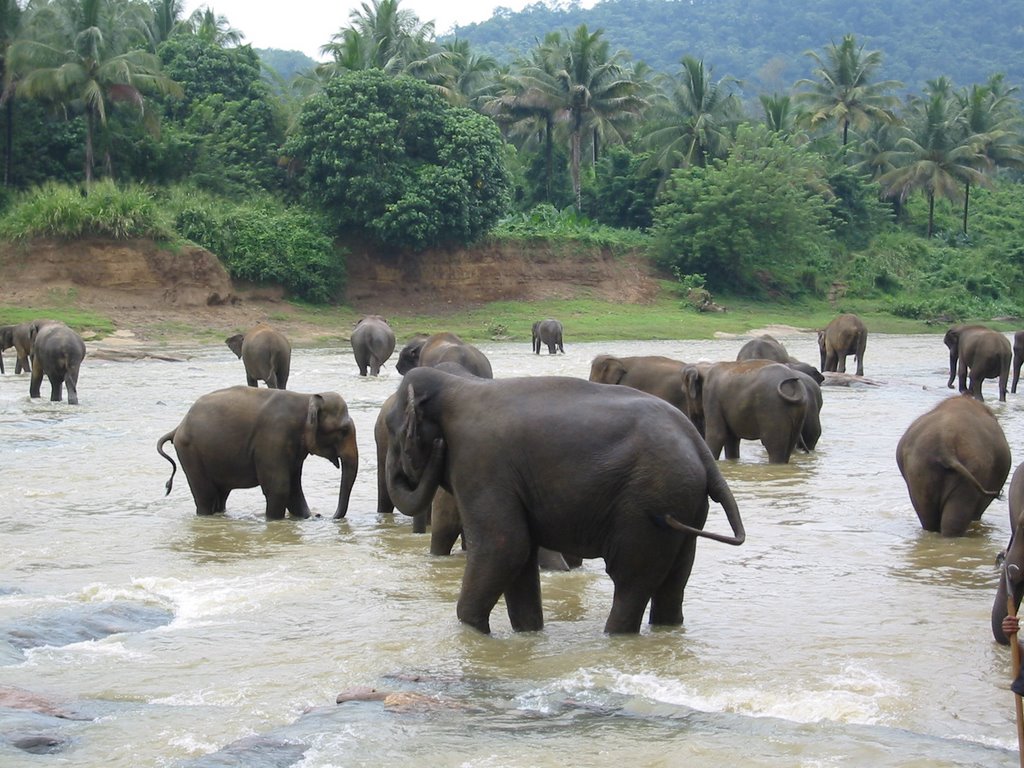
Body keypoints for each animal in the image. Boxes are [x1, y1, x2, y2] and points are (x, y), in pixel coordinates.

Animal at [153, 385, 358, 524]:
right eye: (343, 431)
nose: (320, 515)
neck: (307, 399)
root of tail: (178, 427)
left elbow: (294, 490)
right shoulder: (274, 438)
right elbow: (280, 488)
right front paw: (275, 522)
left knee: (220, 495)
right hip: (190, 452)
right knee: (205, 495)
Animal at [380, 370, 741, 634]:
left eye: (392, 432)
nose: (434, 452)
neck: (455, 385)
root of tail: (698, 446)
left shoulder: (480, 463)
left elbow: (503, 546)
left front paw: (474, 632)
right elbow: (520, 555)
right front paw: (528, 633)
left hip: (648, 502)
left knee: (630, 582)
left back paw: (614, 635)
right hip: (685, 503)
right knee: (673, 583)